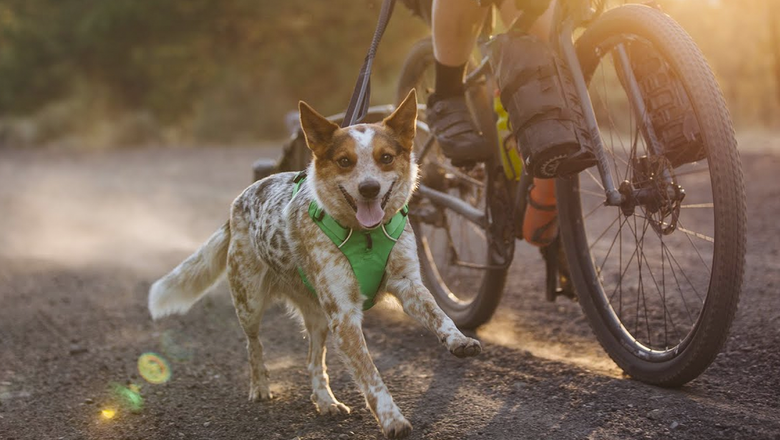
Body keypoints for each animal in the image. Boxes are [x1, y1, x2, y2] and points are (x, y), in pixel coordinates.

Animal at [143, 90, 478, 440]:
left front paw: (458, 340)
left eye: (385, 157)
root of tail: (238, 202)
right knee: (253, 346)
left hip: (318, 318)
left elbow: (439, 315)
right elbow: (370, 376)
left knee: (313, 361)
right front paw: (391, 419)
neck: (366, 235)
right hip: (250, 304)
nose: (369, 188)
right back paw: (260, 386)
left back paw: (325, 400)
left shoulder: (407, 285)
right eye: (345, 161)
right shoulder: (344, 316)